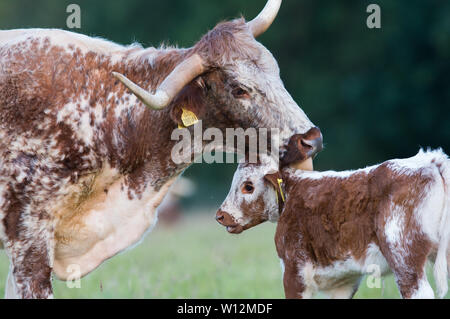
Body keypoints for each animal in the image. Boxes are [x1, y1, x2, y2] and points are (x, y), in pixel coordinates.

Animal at [216, 151, 448, 298]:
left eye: (248, 186)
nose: (221, 215)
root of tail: (430, 160)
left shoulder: (294, 270)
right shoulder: (344, 279)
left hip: (404, 258)